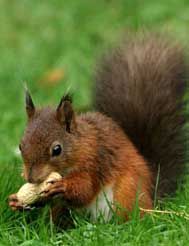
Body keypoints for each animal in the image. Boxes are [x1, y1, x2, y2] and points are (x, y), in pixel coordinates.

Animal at [8, 34, 188, 221]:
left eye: (57, 149)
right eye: (20, 146)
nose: (31, 177)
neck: (80, 146)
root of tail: (152, 197)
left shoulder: (96, 162)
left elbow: (85, 190)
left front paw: (63, 187)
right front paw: (16, 201)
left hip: (127, 192)